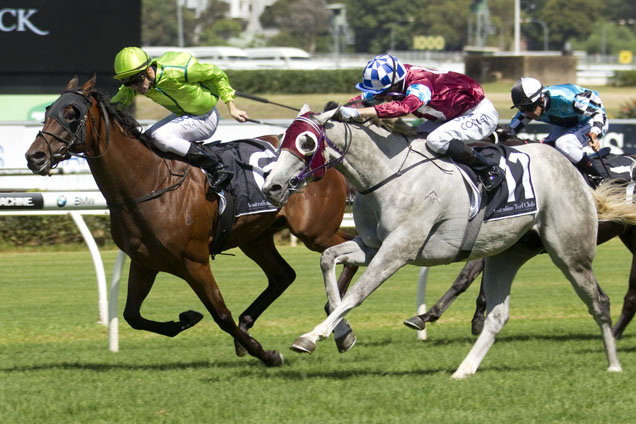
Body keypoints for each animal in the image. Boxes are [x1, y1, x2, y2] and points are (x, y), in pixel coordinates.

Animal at [24, 77, 358, 368]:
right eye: (48, 110)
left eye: (71, 113)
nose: (34, 156)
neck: (149, 181)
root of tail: (325, 153)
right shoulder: (144, 261)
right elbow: (133, 315)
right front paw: (185, 319)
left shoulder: (194, 261)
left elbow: (220, 314)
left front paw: (266, 354)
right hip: (256, 237)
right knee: (283, 275)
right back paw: (256, 323)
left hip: (314, 231)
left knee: (347, 252)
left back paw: (335, 316)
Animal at [264, 106, 636, 378]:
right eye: (283, 138)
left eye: (307, 143)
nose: (272, 186)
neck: (390, 175)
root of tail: (571, 168)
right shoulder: (372, 246)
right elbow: (329, 259)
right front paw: (343, 335)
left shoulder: (399, 250)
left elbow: (356, 294)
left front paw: (311, 337)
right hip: (508, 254)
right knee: (498, 316)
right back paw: (464, 371)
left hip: (570, 251)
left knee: (599, 300)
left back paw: (614, 363)